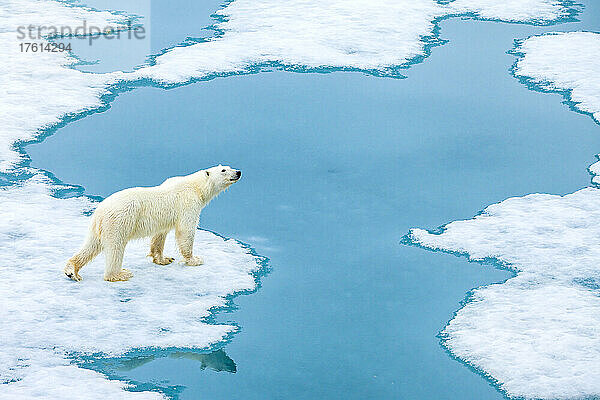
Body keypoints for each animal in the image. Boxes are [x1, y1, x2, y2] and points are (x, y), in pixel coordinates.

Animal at [63, 165, 241, 282]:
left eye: (228, 166)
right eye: (224, 170)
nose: (238, 172)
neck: (196, 186)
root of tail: (99, 211)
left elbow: (159, 236)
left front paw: (163, 259)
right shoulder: (188, 203)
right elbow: (186, 231)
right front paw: (194, 259)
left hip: (100, 227)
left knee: (92, 245)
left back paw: (72, 271)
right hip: (119, 221)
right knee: (115, 247)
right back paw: (120, 274)